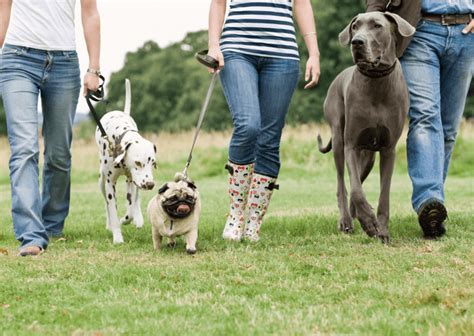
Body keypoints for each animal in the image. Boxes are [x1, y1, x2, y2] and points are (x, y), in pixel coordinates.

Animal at [96, 79, 157, 244]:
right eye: (138, 162)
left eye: (152, 163)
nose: (150, 184)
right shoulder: (110, 183)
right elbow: (112, 210)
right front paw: (117, 236)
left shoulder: (131, 180)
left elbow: (130, 208)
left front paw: (127, 219)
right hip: (101, 182)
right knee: (106, 204)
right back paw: (109, 225)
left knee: (136, 199)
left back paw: (138, 218)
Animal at [318, 11, 414, 243]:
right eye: (355, 26)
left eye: (377, 26)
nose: (356, 42)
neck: (376, 82)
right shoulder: (351, 145)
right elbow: (356, 190)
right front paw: (369, 222)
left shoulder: (388, 149)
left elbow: (383, 195)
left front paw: (382, 230)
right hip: (339, 138)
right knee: (343, 184)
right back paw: (346, 220)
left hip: (368, 156)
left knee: (357, 179)